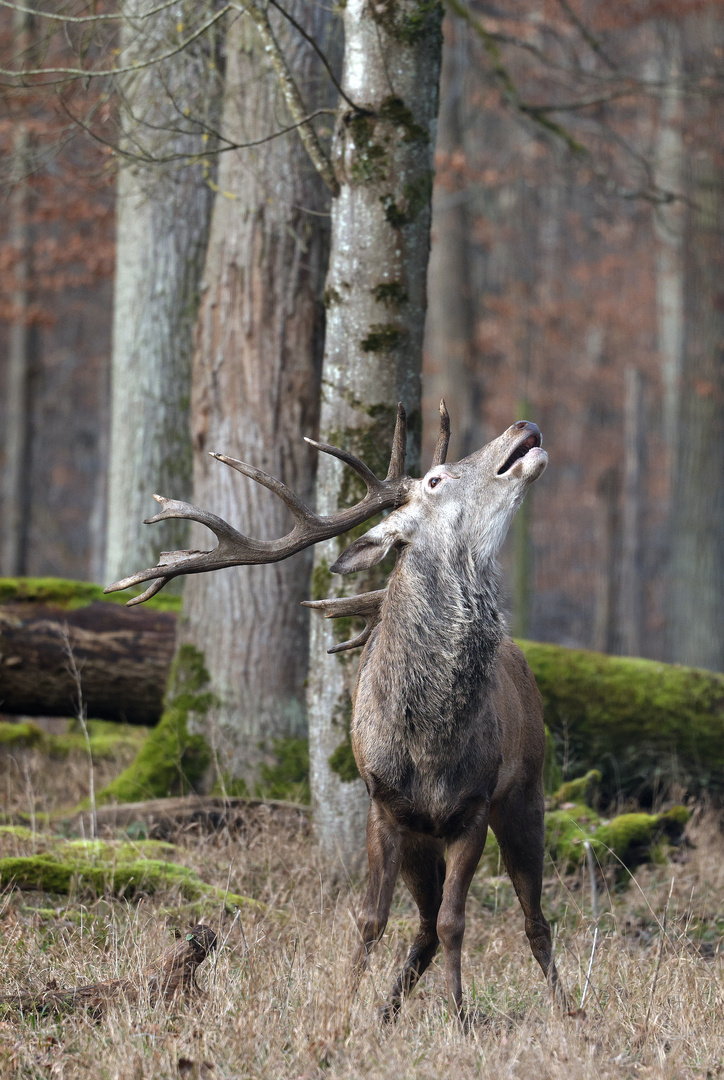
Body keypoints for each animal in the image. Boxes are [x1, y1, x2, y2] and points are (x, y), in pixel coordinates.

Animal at [103, 403, 566, 1019]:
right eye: (436, 479)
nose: (522, 427)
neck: (429, 743)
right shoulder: (385, 806)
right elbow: (372, 920)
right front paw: (345, 1011)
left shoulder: (472, 806)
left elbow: (456, 923)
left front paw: (460, 1017)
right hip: (428, 835)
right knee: (422, 925)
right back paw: (387, 1011)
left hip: (524, 793)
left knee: (533, 922)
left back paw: (568, 1011)